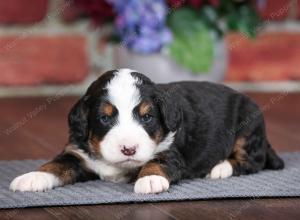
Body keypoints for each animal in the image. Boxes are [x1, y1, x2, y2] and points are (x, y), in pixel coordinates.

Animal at [9, 69, 284, 194]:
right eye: (104, 118)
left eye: (147, 117)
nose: (128, 149)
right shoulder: (77, 152)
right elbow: (56, 164)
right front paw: (32, 177)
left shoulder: (171, 151)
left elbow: (157, 161)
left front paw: (150, 179)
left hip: (248, 127)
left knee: (252, 161)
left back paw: (219, 168)